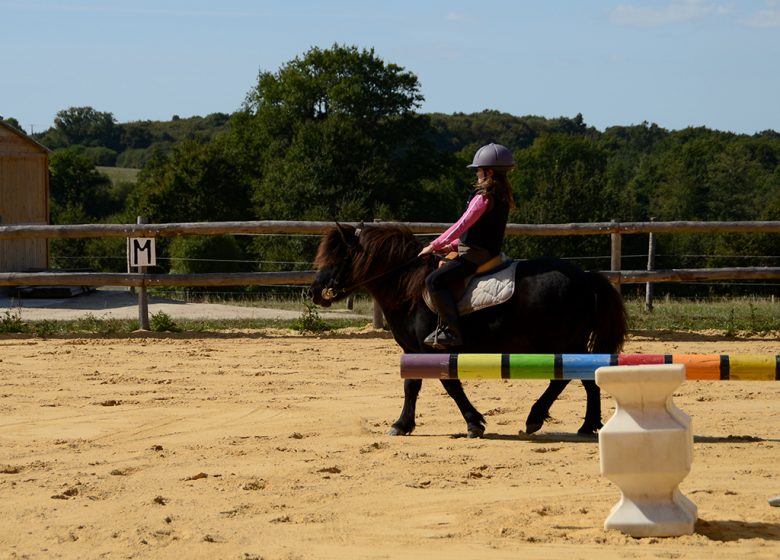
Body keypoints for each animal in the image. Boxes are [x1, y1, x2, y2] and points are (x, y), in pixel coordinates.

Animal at [310, 223, 628, 438]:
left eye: (336, 258)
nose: (314, 291)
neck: (408, 286)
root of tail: (585, 277)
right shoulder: (412, 350)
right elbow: (411, 386)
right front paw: (402, 424)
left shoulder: (430, 350)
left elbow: (450, 385)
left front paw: (474, 422)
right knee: (586, 378)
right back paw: (587, 425)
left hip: (560, 341)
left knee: (564, 378)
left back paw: (537, 418)